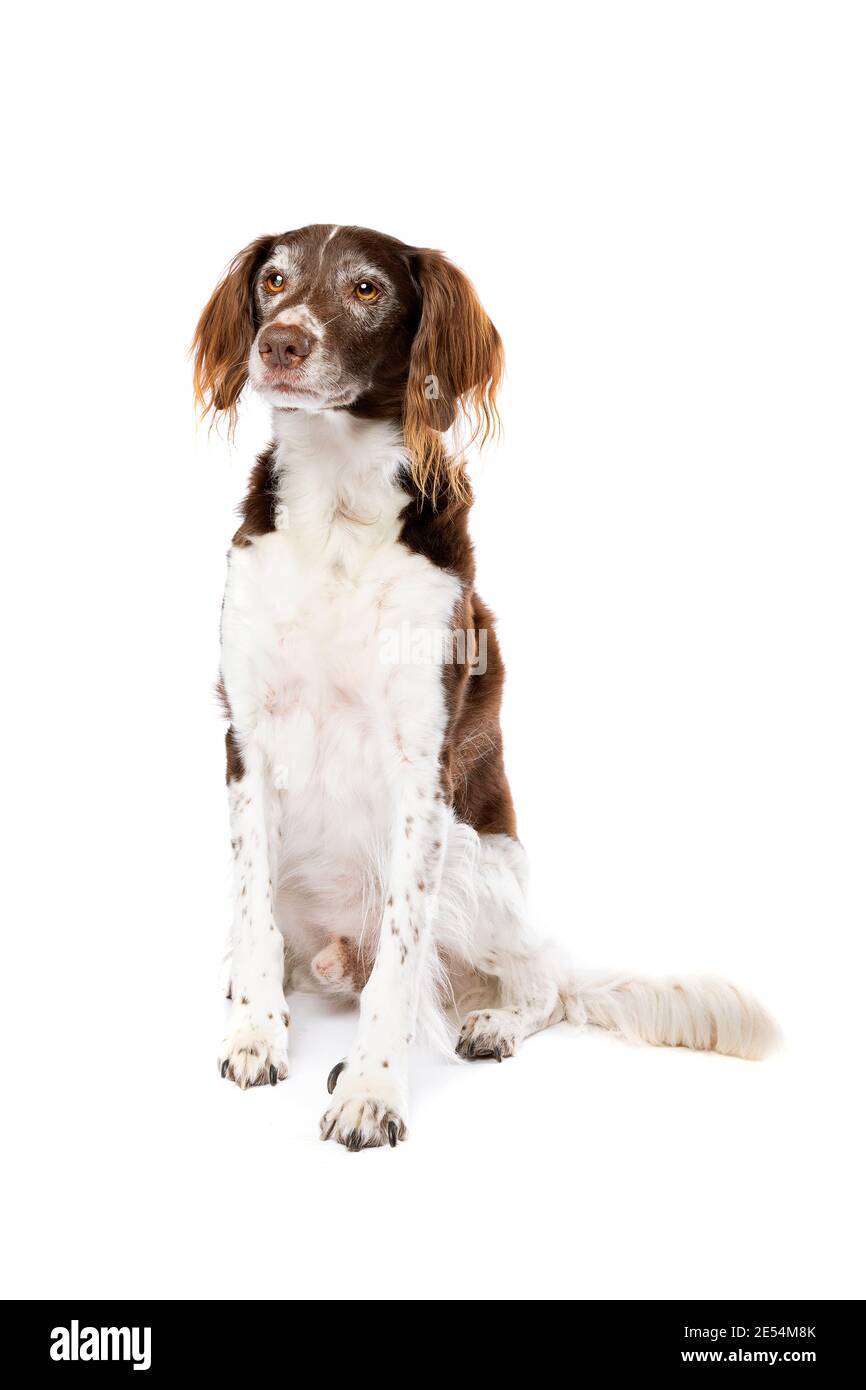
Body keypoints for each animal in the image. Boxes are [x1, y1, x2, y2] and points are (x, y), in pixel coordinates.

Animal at [191, 225, 778, 1150]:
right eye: (275, 280)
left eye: (366, 289)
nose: (278, 344)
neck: (335, 511)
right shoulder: (246, 737)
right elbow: (250, 917)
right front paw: (254, 1033)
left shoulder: (419, 764)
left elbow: (402, 959)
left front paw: (372, 1087)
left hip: (475, 857)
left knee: (539, 981)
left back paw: (491, 1022)